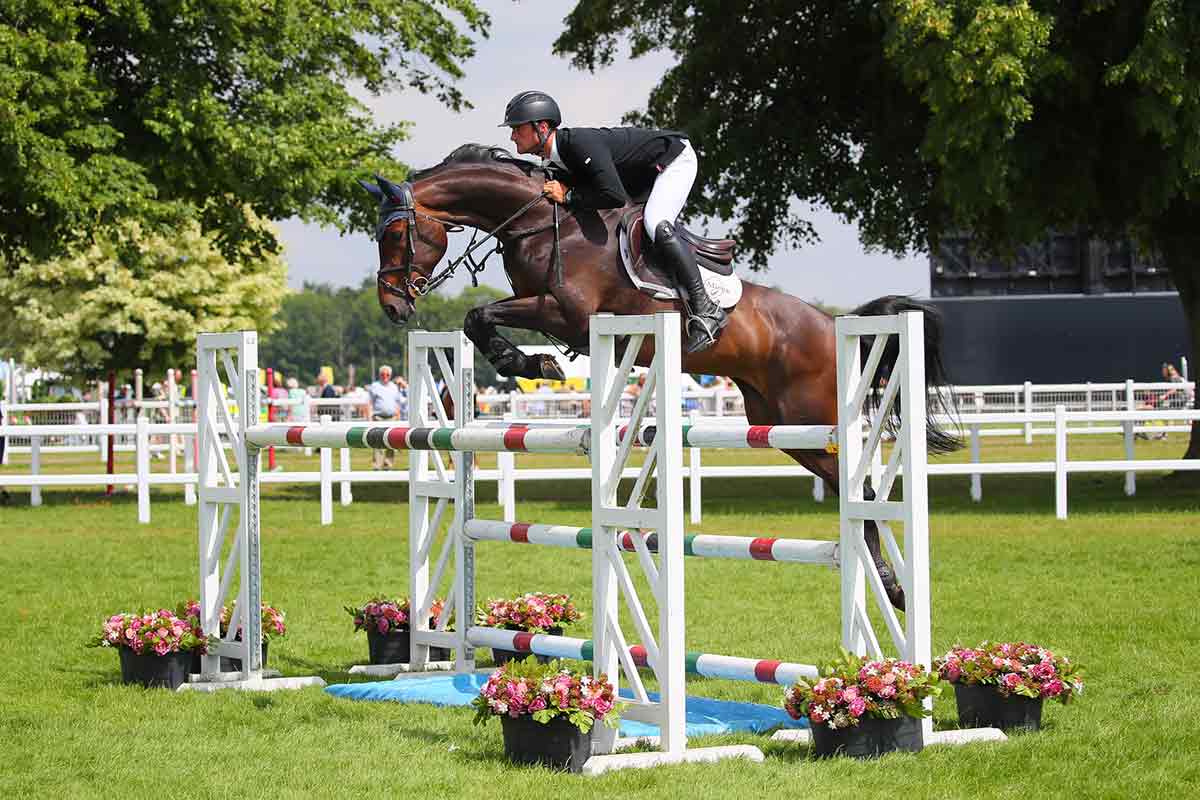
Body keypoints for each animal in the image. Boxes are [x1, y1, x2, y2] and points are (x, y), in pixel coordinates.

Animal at [360, 144, 959, 610]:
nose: (392, 307)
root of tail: (834, 325)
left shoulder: (567, 314)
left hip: (814, 418)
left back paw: (891, 588)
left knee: (862, 492)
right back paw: (888, 585)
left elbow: (479, 315)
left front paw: (526, 363)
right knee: (847, 487)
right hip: (785, 428)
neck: (543, 222)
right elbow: (475, 318)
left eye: (395, 235)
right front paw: (527, 362)